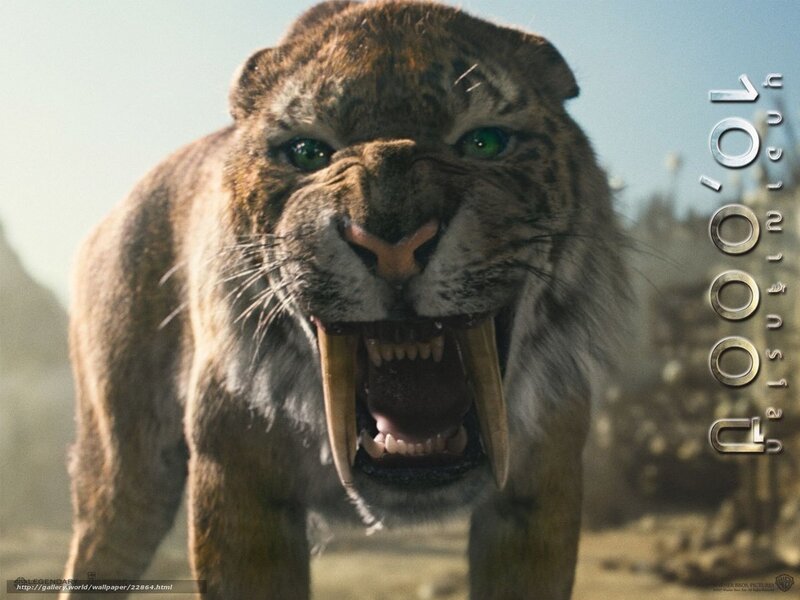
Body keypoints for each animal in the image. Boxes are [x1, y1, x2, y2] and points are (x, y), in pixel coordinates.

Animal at [62, 1, 626, 598]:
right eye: (309, 152)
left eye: (484, 143)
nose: (394, 242)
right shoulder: (237, 479)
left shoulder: (538, 489)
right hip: (124, 479)